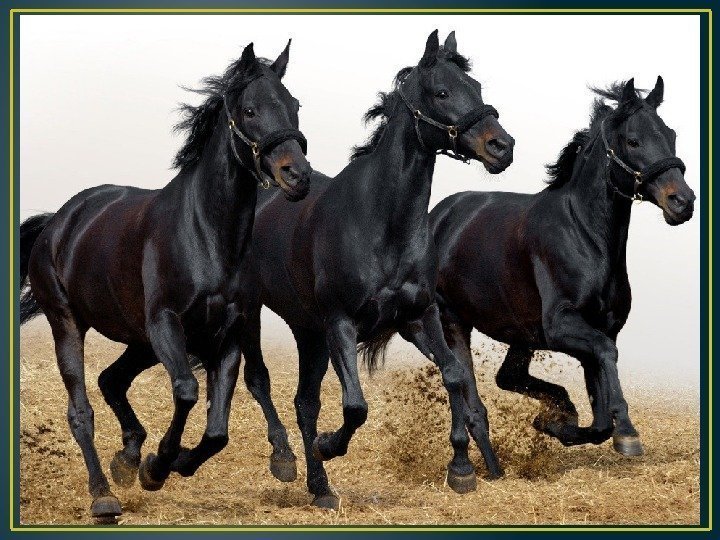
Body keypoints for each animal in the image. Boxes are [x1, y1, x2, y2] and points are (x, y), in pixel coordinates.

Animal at [18, 41, 311, 522]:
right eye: (250, 110)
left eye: (295, 105)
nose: (298, 176)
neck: (205, 235)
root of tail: (58, 222)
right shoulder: (166, 324)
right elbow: (188, 391)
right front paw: (158, 465)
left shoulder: (226, 334)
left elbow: (218, 430)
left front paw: (168, 463)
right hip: (69, 324)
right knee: (81, 409)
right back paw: (104, 496)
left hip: (138, 340)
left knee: (111, 380)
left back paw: (127, 458)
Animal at [236, 30, 514, 509]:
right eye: (441, 92)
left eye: (476, 87)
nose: (502, 146)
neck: (382, 224)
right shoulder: (341, 324)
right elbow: (355, 406)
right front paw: (330, 445)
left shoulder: (418, 317)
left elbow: (454, 375)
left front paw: (461, 469)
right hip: (256, 313)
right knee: (261, 381)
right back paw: (286, 460)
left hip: (308, 331)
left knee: (304, 403)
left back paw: (320, 488)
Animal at [428, 77, 695, 459]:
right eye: (633, 140)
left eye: (670, 134)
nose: (683, 201)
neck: (584, 236)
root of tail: (438, 216)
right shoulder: (561, 326)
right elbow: (606, 356)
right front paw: (627, 433)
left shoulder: (598, 329)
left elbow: (600, 417)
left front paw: (556, 424)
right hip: (454, 321)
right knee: (468, 387)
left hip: (520, 334)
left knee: (508, 377)